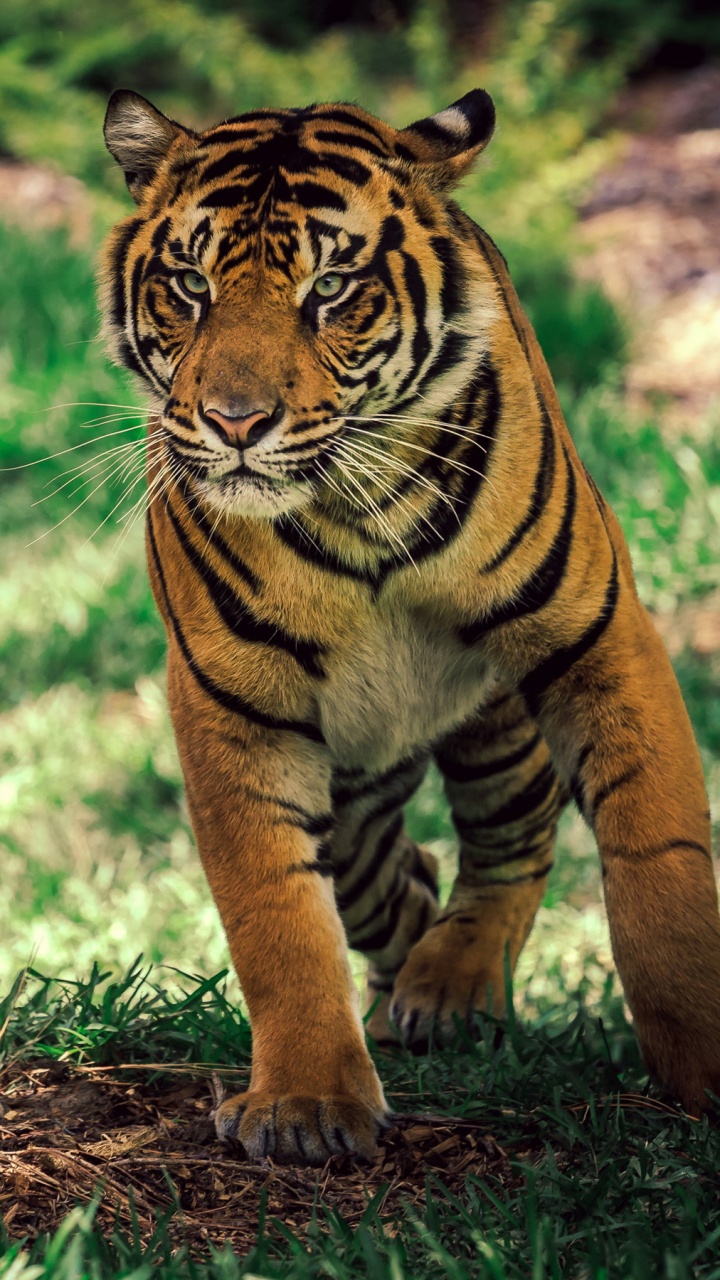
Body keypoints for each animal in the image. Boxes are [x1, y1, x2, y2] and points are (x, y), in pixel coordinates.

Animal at [100, 86, 720, 1165]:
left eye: (331, 288)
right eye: (189, 284)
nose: (234, 421)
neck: (354, 511)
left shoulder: (598, 634)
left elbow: (661, 864)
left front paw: (705, 1066)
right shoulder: (233, 702)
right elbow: (275, 912)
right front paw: (307, 1102)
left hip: (496, 721)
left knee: (513, 840)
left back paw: (452, 985)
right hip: (354, 784)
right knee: (399, 872)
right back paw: (407, 999)